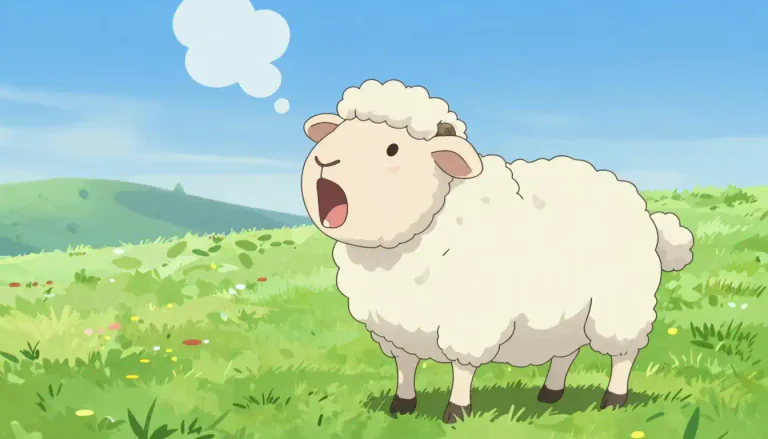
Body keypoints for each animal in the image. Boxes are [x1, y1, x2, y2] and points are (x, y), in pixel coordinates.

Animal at [300, 79, 695, 424]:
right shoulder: (397, 324)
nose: (324, 160)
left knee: (624, 355)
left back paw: (613, 400)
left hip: (620, 306)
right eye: (338, 132)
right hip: (570, 311)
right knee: (566, 351)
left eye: (392, 148)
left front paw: (456, 412)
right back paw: (551, 392)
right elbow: (405, 366)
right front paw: (402, 405)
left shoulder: (470, 317)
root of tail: (648, 215)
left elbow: (462, 367)